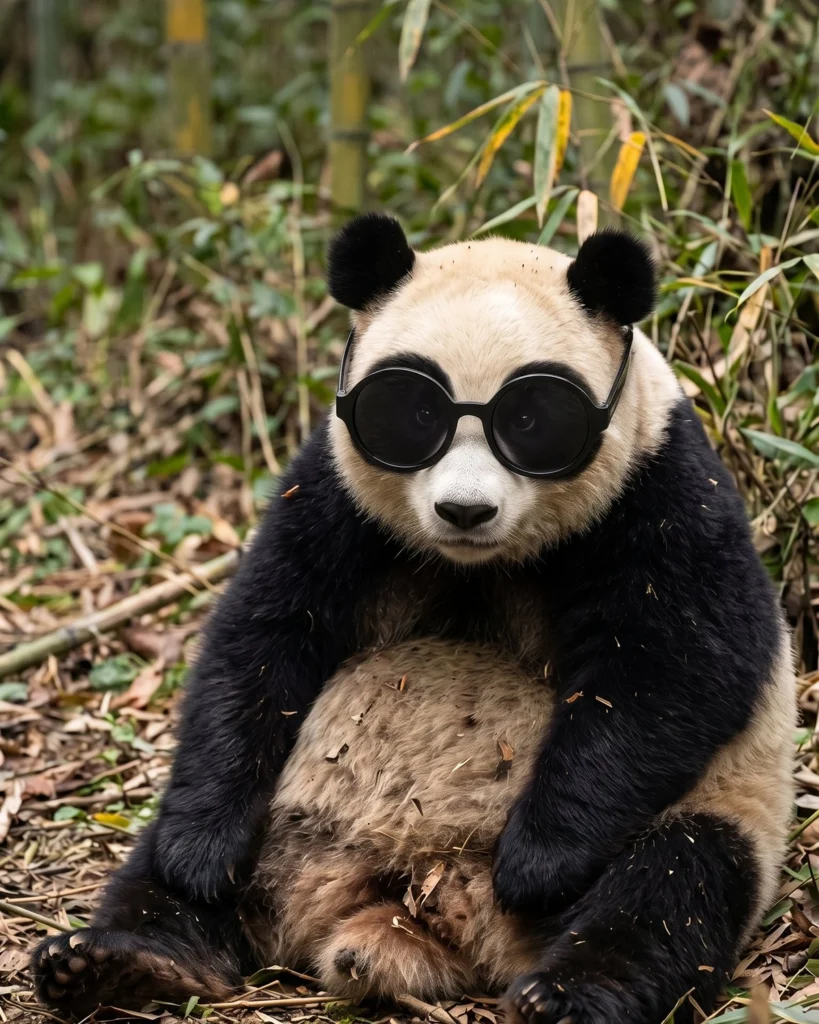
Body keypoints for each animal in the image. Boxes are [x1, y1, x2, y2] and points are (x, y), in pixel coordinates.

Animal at [33, 214, 795, 1024]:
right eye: (413, 415)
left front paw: (537, 861)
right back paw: (120, 961)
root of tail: (404, 901)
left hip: (718, 809)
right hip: (277, 813)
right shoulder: (333, 496)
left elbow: (678, 663)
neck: (480, 562)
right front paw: (199, 854)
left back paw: (566, 992)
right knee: (157, 871)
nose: (464, 510)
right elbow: (262, 637)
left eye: (533, 421)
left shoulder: (660, 488)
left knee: (671, 886)